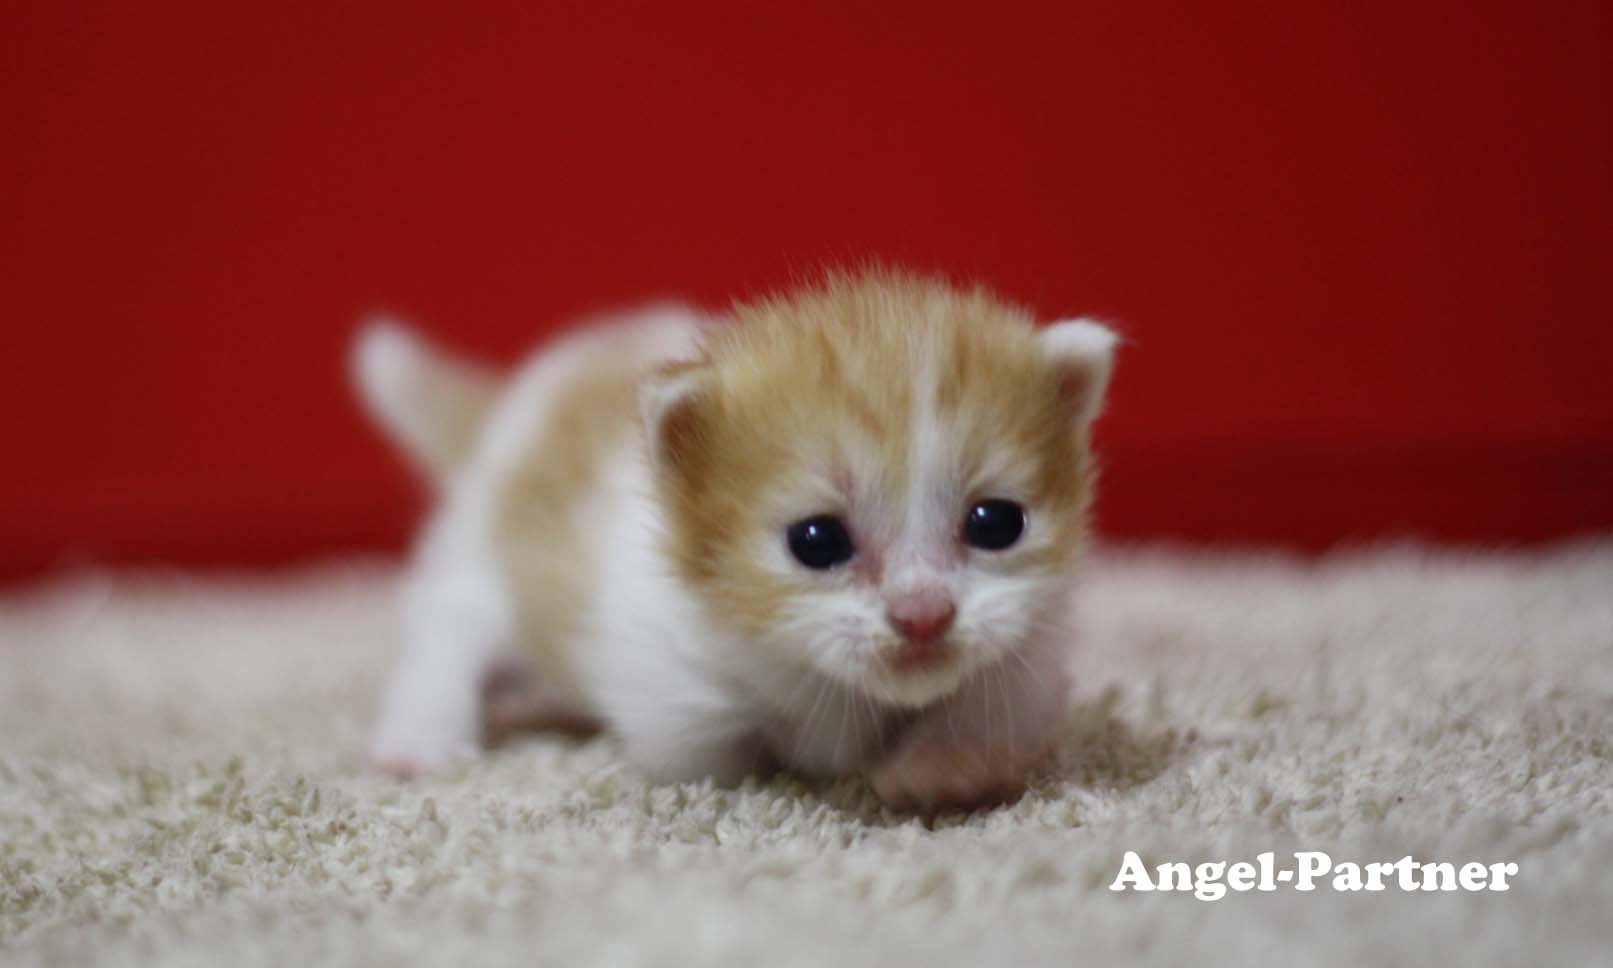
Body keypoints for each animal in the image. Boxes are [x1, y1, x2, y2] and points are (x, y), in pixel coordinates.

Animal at [358, 272, 1116, 809]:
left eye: (996, 523)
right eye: (816, 540)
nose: (923, 616)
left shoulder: (1026, 661)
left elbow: (983, 715)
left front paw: (948, 768)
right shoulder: (675, 695)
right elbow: (715, 760)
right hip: (478, 557)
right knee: (447, 631)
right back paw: (420, 740)